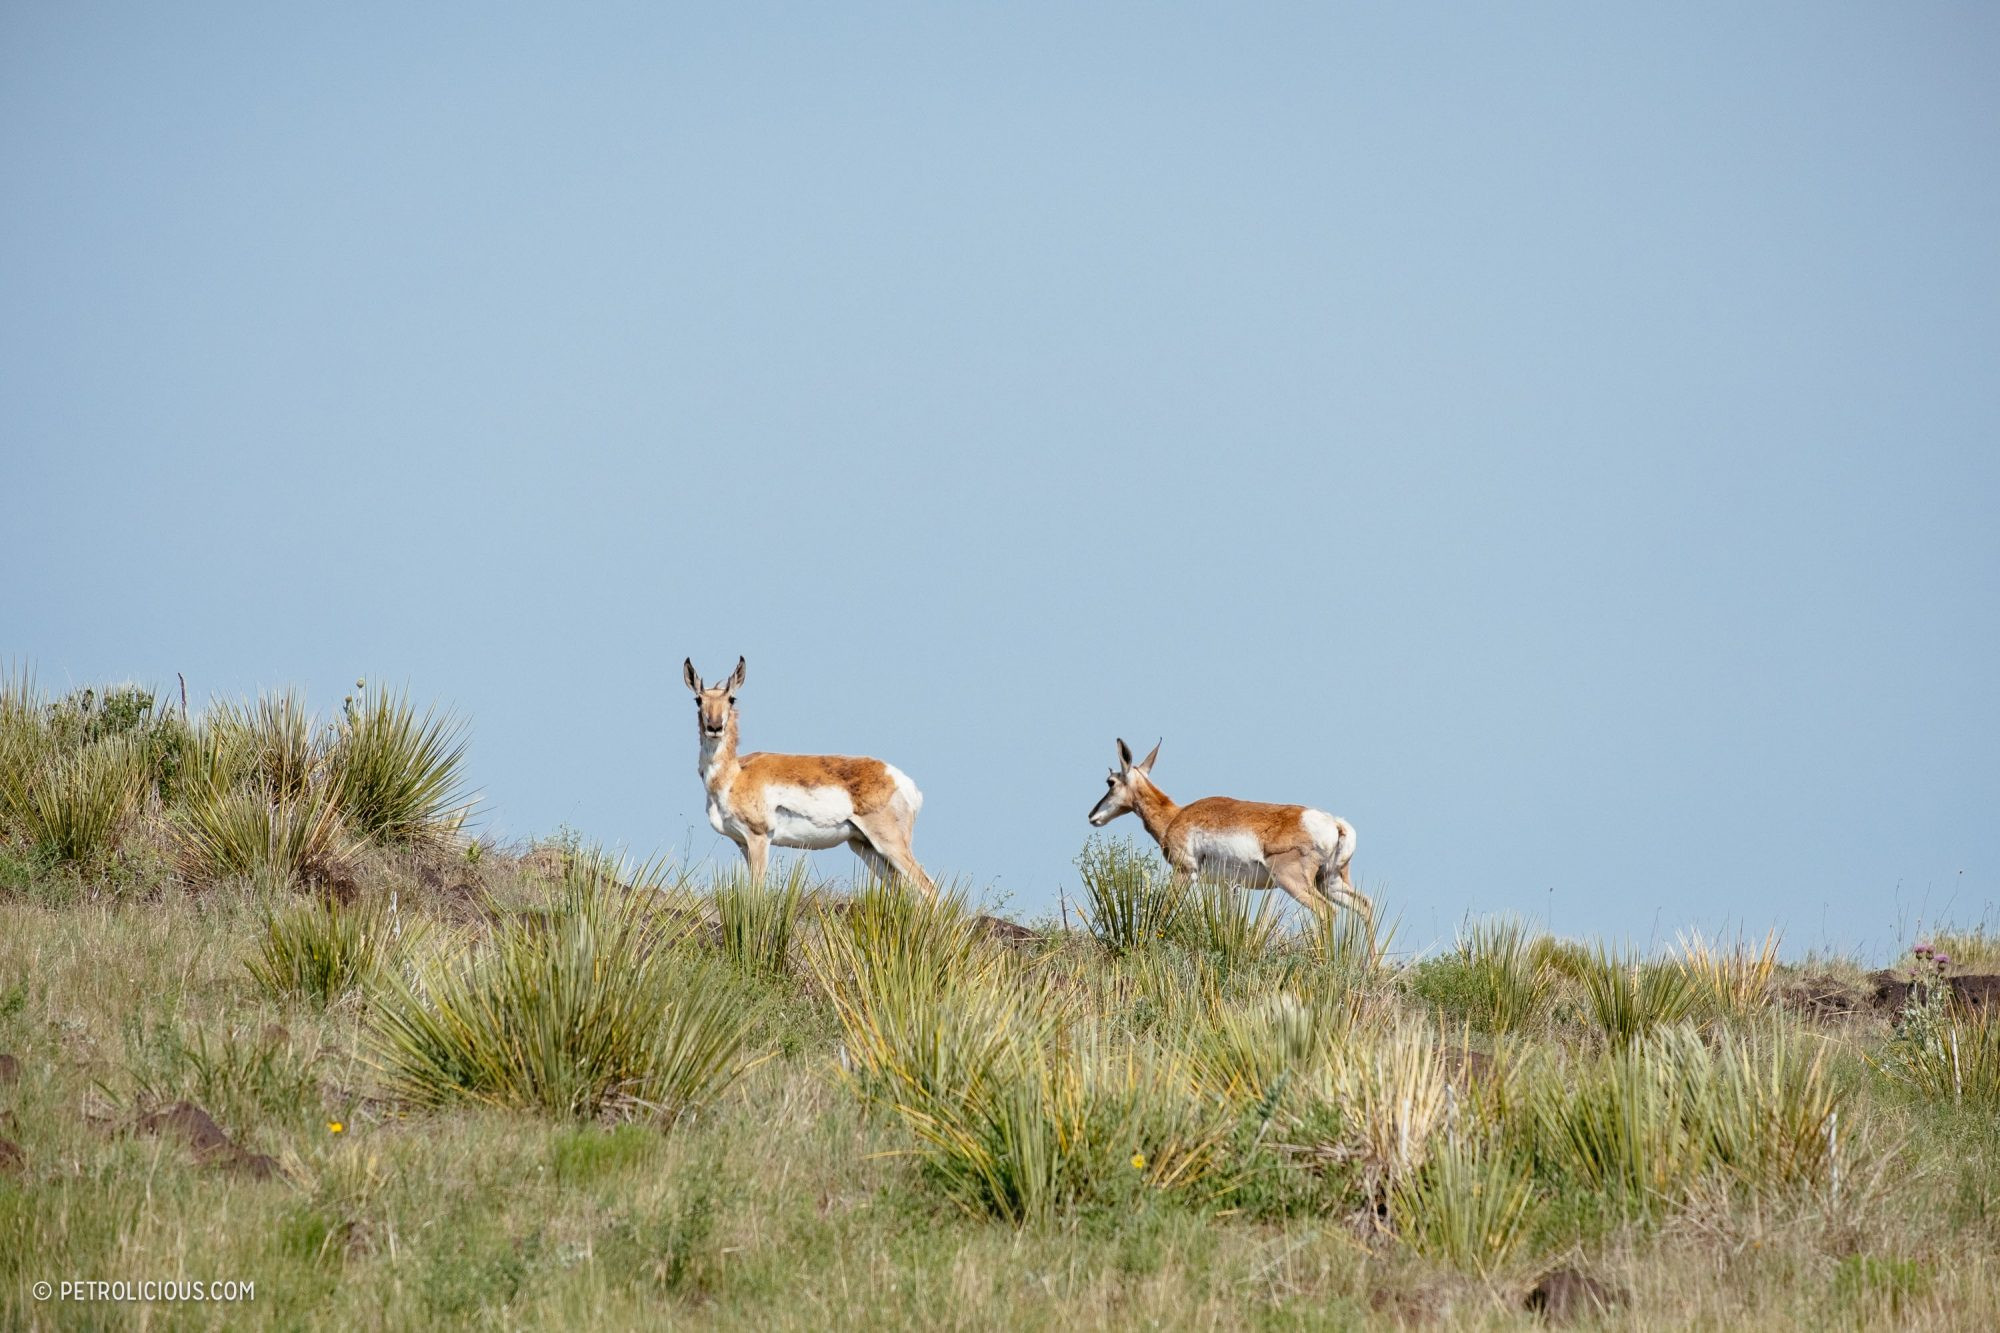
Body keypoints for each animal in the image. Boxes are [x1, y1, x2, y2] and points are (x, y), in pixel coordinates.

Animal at [680, 652, 936, 892]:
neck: (734, 776)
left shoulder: (759, 837)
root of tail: (899, 779)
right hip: (866, 847)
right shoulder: (742, 843)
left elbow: (757, 889)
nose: (714, 727)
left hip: (889, 844)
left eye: (731, 698)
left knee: (928, 887)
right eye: (698, 699)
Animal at [1088, 736, 1368, 912]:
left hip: (1294, 882)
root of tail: (1334, 822)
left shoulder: (1184, 872)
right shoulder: (1227, 886)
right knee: (1365, 907)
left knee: (1327, 912)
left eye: (1110, 782)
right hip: (1330, 882)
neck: (1176, 816)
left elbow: (1166, 907)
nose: (1092, 816)